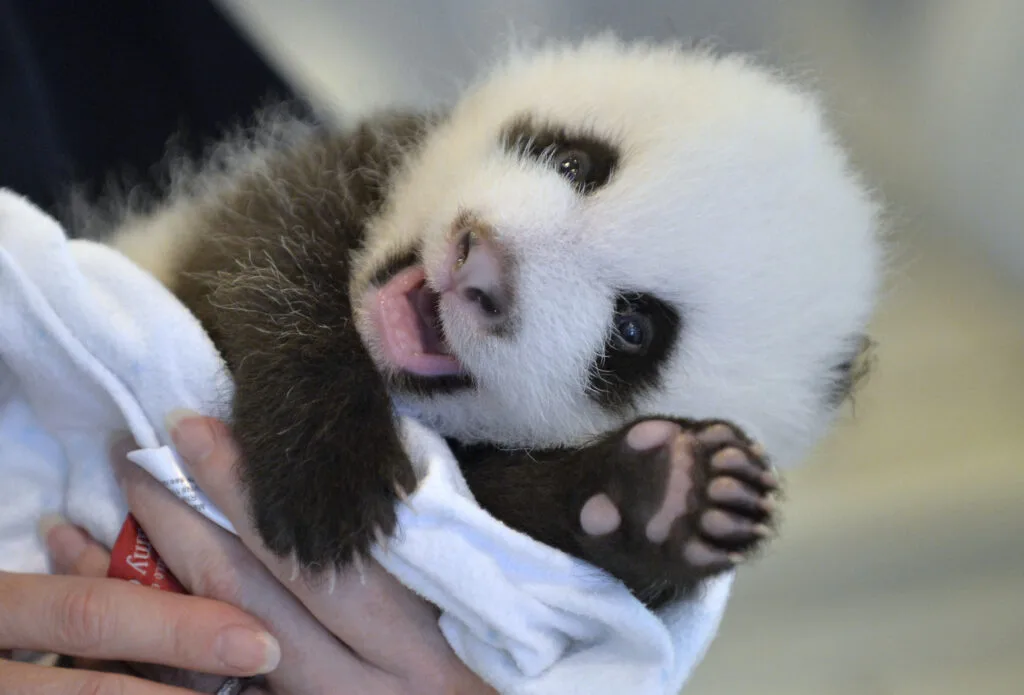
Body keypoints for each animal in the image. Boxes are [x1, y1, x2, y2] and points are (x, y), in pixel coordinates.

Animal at [92, 36, 882, 610]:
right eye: (576, 161)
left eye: (634, 331)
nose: (482, 266)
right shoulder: (326, 175)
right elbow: (268, 257)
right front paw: (328, 477)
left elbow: (502, 532)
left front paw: (672, 495)